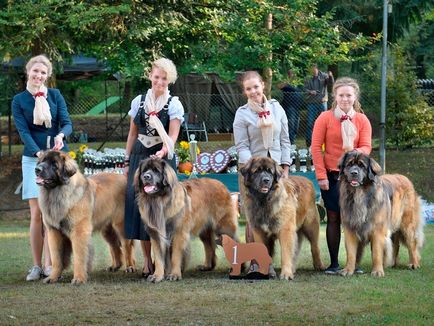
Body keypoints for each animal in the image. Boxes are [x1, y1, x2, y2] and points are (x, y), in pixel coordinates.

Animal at [35, 152, 135, 284]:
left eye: (54, 165)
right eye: (42, 161)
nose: (37, 169)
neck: (58, 194)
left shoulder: (79, 232)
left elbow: (79, 256)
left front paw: (79, 278)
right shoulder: (53, 232)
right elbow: (56, 258)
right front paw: (53, 277)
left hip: (121, 226)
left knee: (127, 246)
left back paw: (130, 266)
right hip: (107, 230)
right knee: (114, 245)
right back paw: (115, 266)